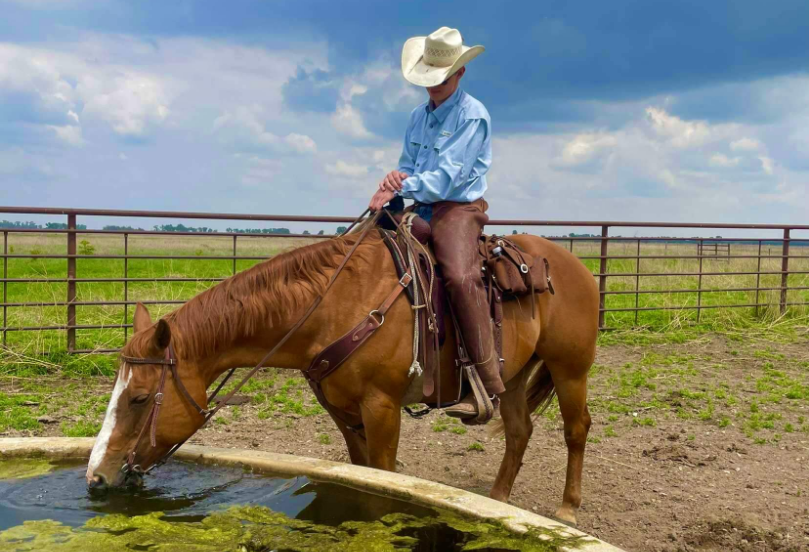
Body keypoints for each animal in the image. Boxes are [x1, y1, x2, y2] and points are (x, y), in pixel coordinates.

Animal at [85, 230, 598, 525]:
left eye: (138, 398)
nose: (95, 477)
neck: (334, 306)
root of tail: (571, 265)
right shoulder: (339, 408)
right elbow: (360, 470)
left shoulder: (382, 406)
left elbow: (384, 475)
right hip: (512, 375)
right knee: (518, 430)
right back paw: (497, 499)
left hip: (570, 368)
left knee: (576, 429)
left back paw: (569, 507)